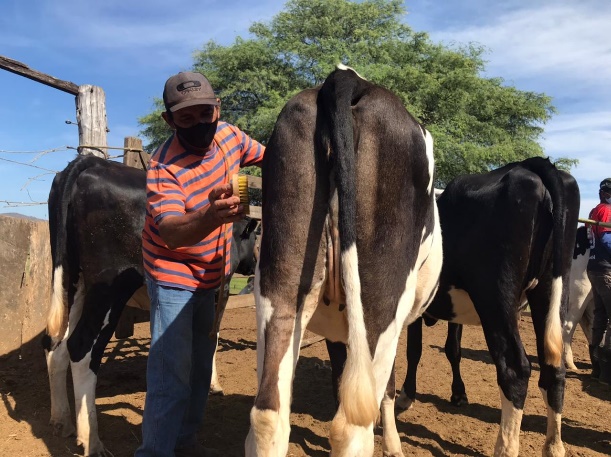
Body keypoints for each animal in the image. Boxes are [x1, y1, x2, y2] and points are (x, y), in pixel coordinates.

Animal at [42, 154, 258, 456]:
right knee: (81, 347)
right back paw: (92, 441)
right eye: (254, 237)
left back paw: (61, 421)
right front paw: (213, 384)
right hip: (110, 287)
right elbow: (211, 339)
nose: (255, 263)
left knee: (57, 345)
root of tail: (91, 161)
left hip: (71, 280)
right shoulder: (216, 294)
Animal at [245, 65, 444, 456]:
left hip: (279, 283)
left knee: (268, 413)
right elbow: (386, 390)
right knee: (351, 427)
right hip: (381, 305)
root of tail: (347, 78)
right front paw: (394, 444)